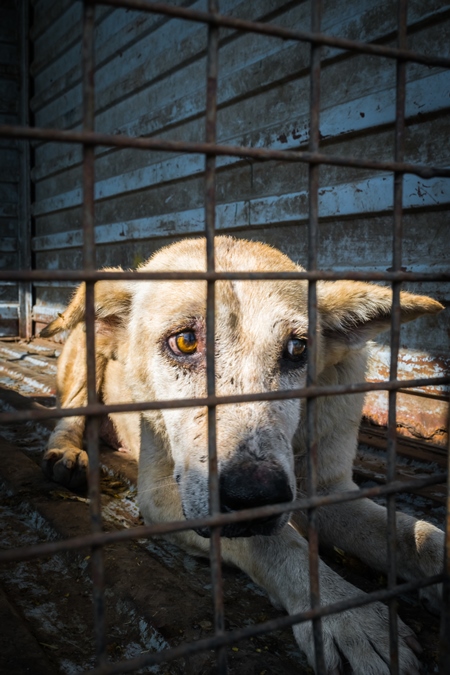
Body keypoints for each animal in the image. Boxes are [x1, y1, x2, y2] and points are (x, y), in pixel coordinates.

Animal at [41, 235, 442, 672]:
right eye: (184, 341)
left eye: (297, 348)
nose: (258, 496)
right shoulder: (162, 494)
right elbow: (276, 543)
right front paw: (349, 617)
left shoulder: (329, 489)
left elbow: (410, 536)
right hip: (83, 358)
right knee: (69, 416)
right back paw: (67, 455)